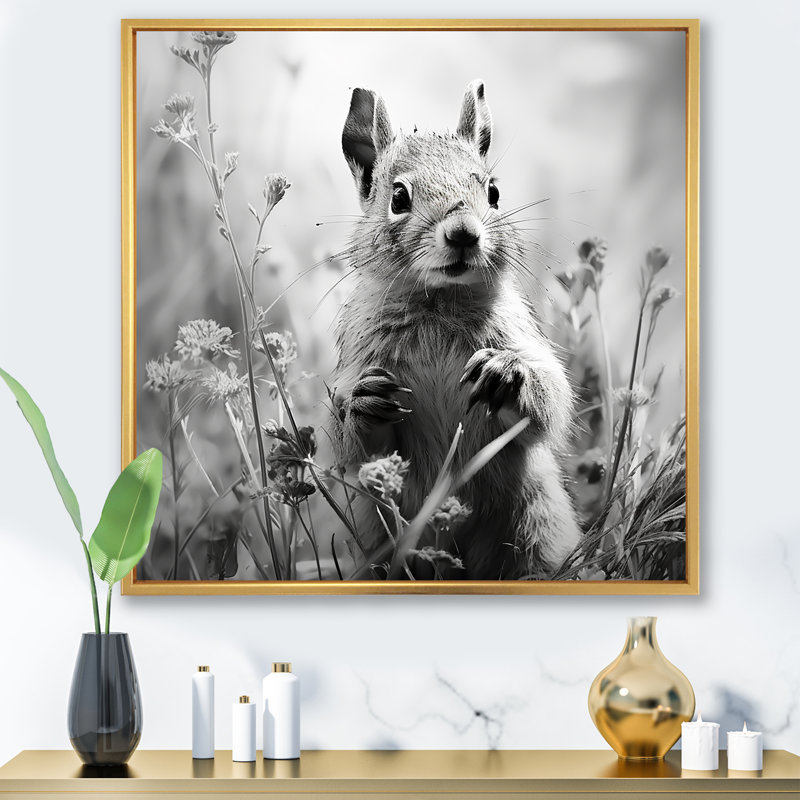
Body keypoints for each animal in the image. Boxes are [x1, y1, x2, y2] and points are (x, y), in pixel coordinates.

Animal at [330, 81, 581, 580]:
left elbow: (550, 401)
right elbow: (356, 446)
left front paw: (505, 373)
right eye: (399, 198)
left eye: (494, 192)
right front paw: (365, 401)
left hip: (536, 520)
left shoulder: (525, 340)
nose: (464, 233)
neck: (439, 301)